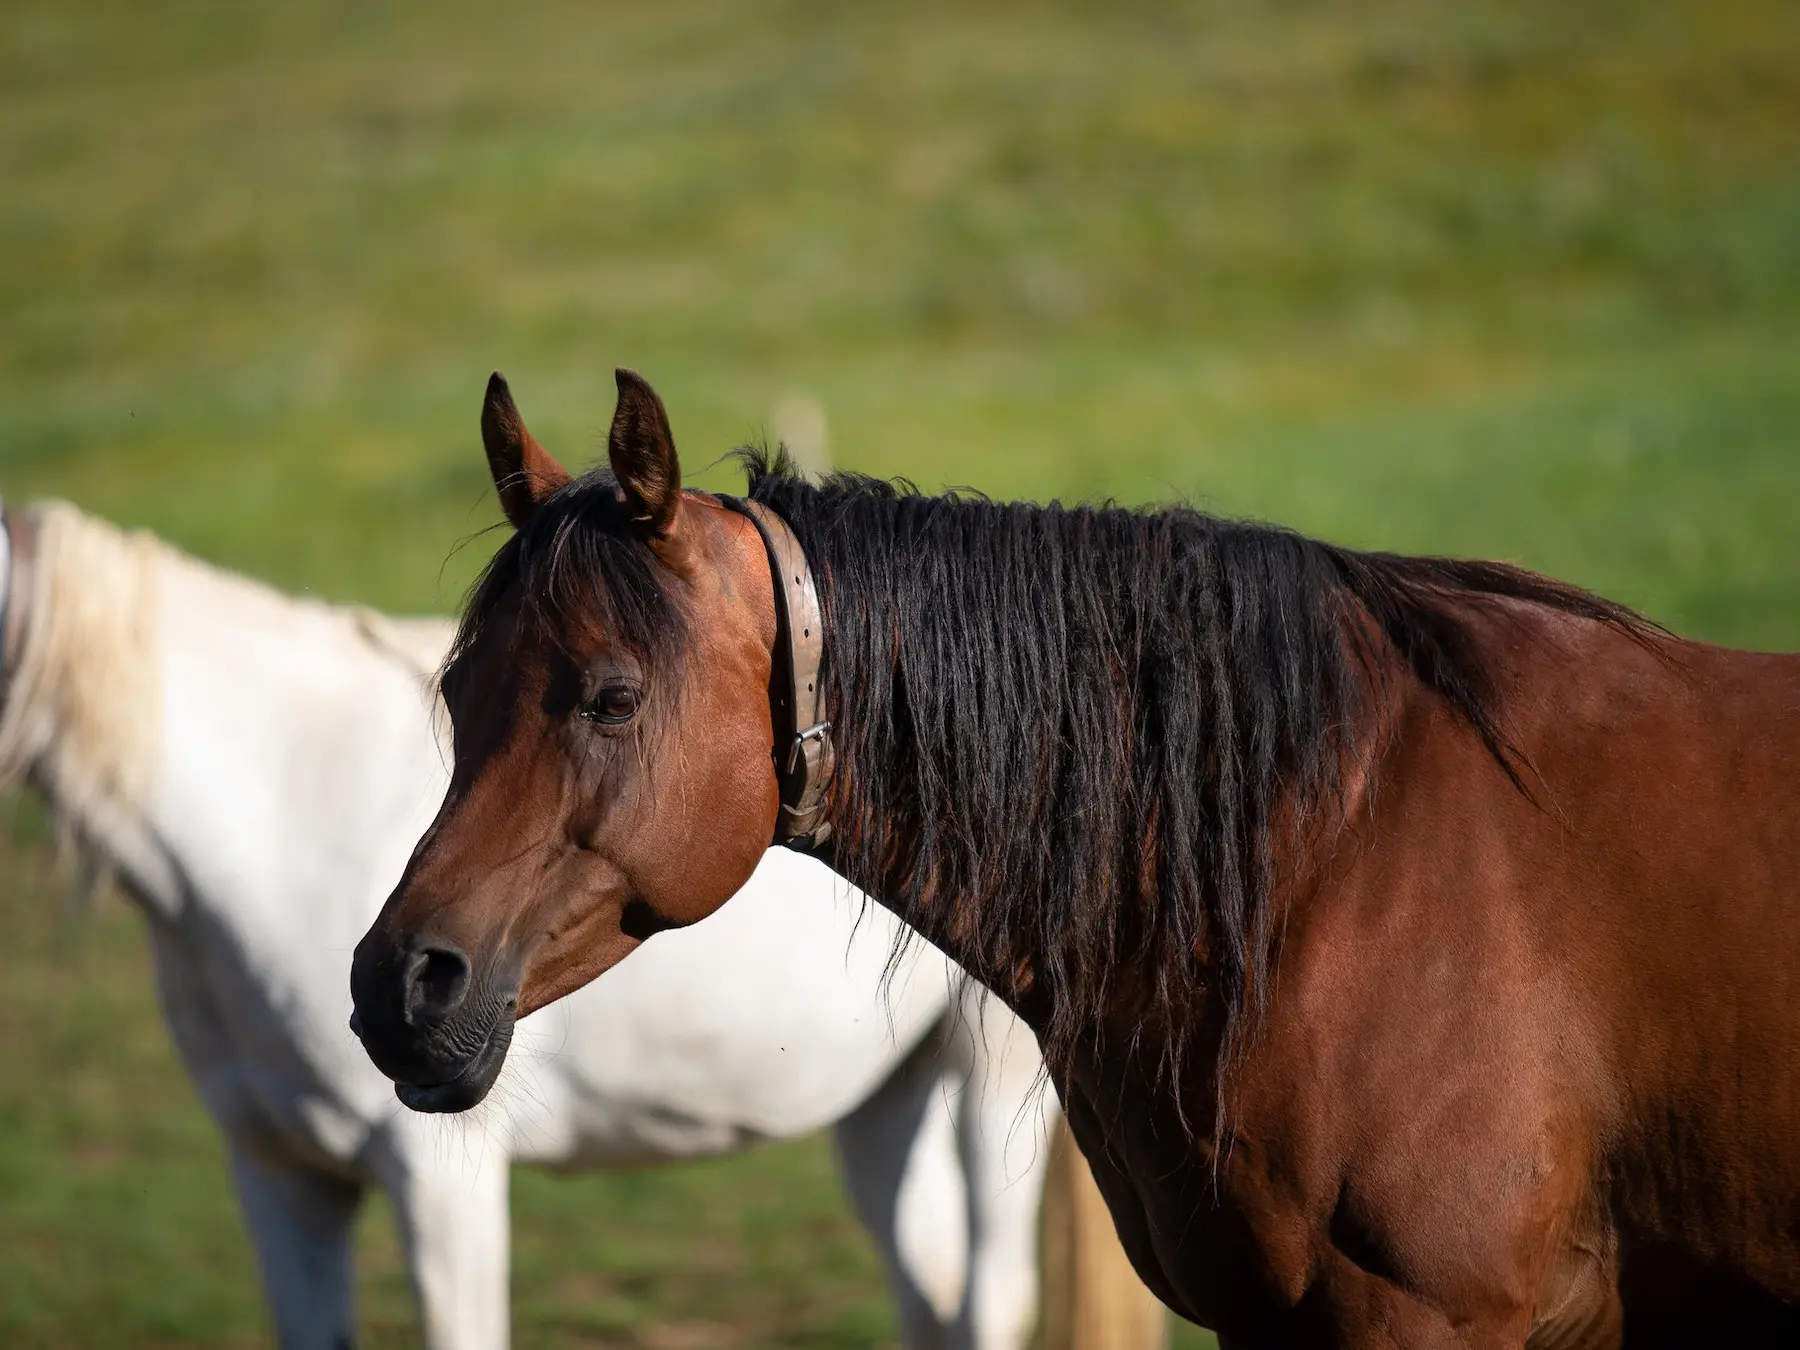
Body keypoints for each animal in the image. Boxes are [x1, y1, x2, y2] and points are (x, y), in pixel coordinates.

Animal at [0, 504, 1065, 1350]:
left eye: (611, 702)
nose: (394, 991)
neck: (290, 811)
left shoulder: (441, 1180)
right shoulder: (278, 1173)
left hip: (991, 1077)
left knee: (988, 1300)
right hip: (887, 1099)